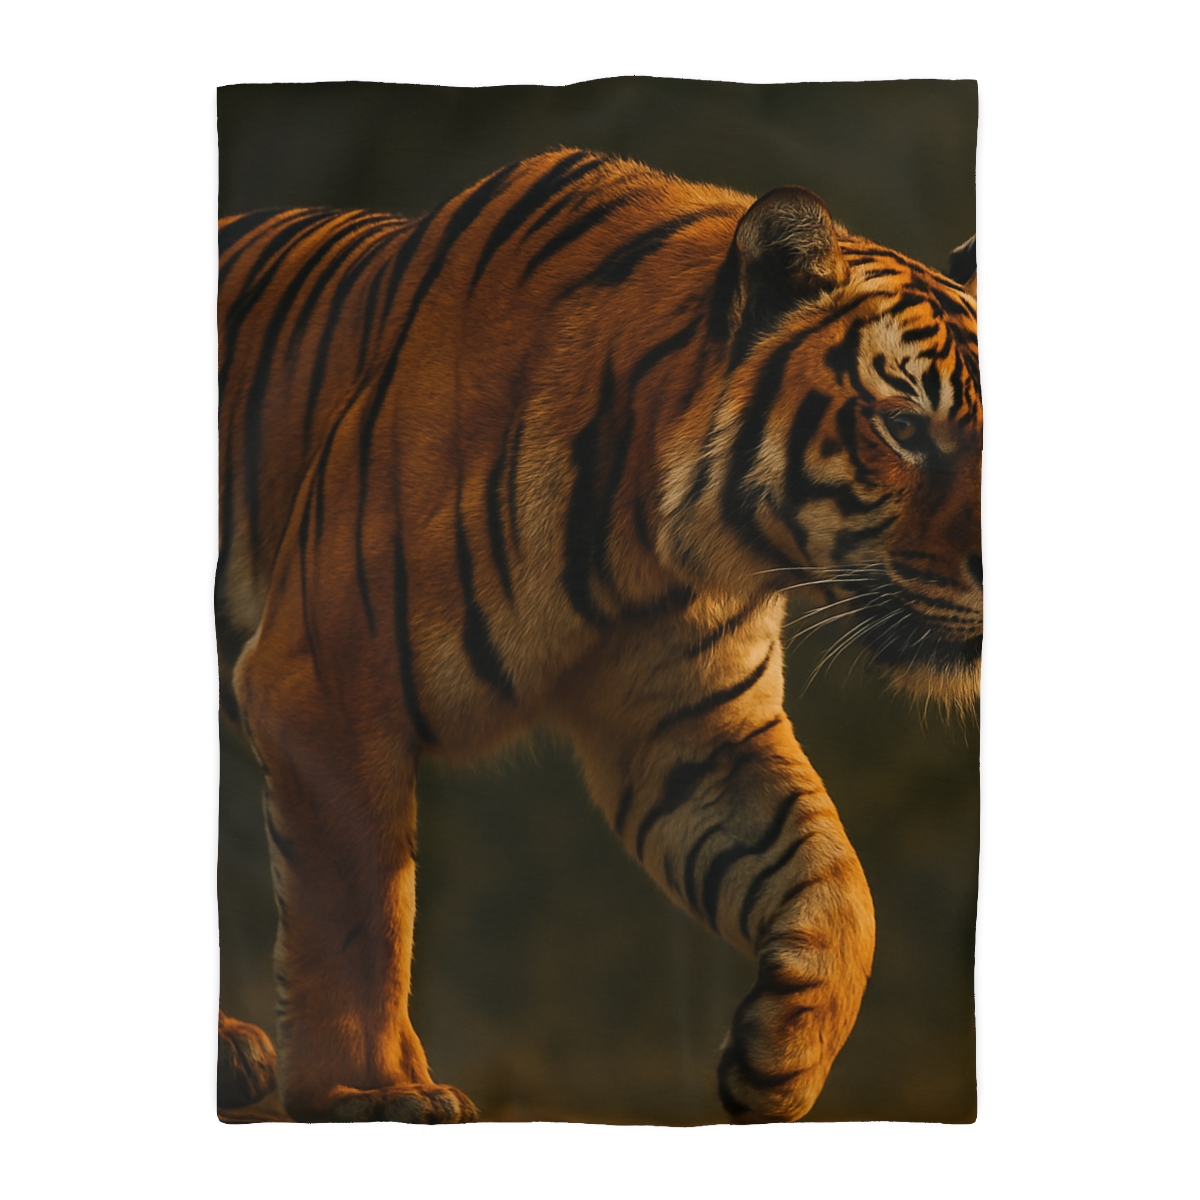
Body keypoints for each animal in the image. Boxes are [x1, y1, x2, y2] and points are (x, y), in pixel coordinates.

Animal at [216, 148, 981, 1123]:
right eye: (904, 426)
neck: (658, 551)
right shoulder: (324, 684)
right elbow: (355, 914)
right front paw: (368, 1090)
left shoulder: (698, 731)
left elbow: (835, 880)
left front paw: (782, 1060)